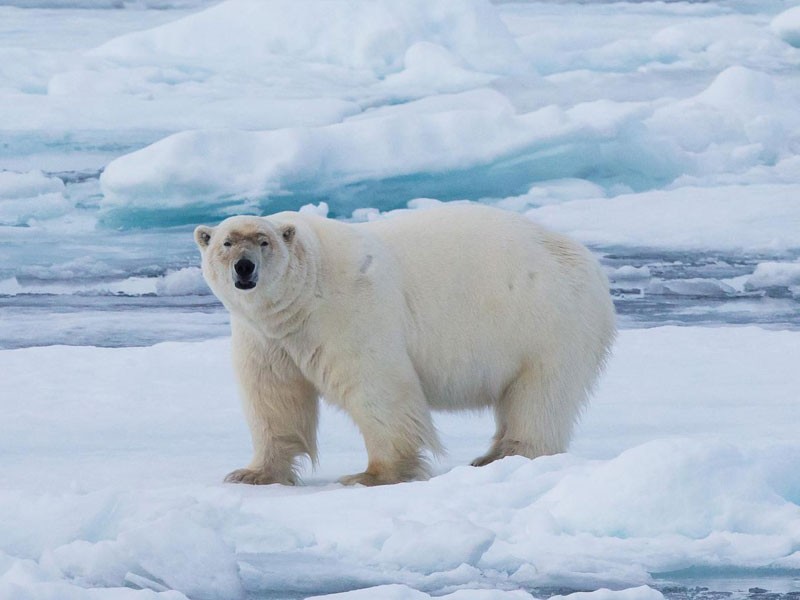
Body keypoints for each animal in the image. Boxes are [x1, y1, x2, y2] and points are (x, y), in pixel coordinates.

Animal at [197, 204, 616, 486]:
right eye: (226, 242)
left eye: (263, 241)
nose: (244, 267)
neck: (306, 292)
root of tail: (591, 264)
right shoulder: (266, 337)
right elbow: (273, 397)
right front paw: (252, 473)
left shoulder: (349, 313)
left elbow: (377, 389)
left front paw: (372, 475)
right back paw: (490, 456)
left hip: (547, 324)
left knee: (540, 396)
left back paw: (508, 454)